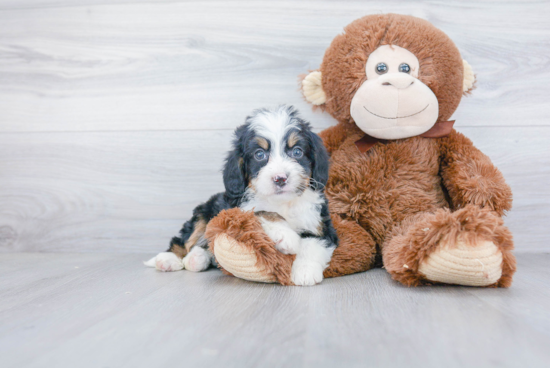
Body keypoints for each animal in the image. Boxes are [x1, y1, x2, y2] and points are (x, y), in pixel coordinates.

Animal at [144, 105, 338, 286]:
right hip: (203, 211)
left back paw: (197, 258)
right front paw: (286, 236)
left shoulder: (321, 224)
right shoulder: (238, 210)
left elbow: (313, 244)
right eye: (259, 154)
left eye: (297, 152)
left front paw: (305, 271)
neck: (283, 202)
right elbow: (263, 212)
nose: (280, 178)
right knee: (183, 239)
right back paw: (168, 259)